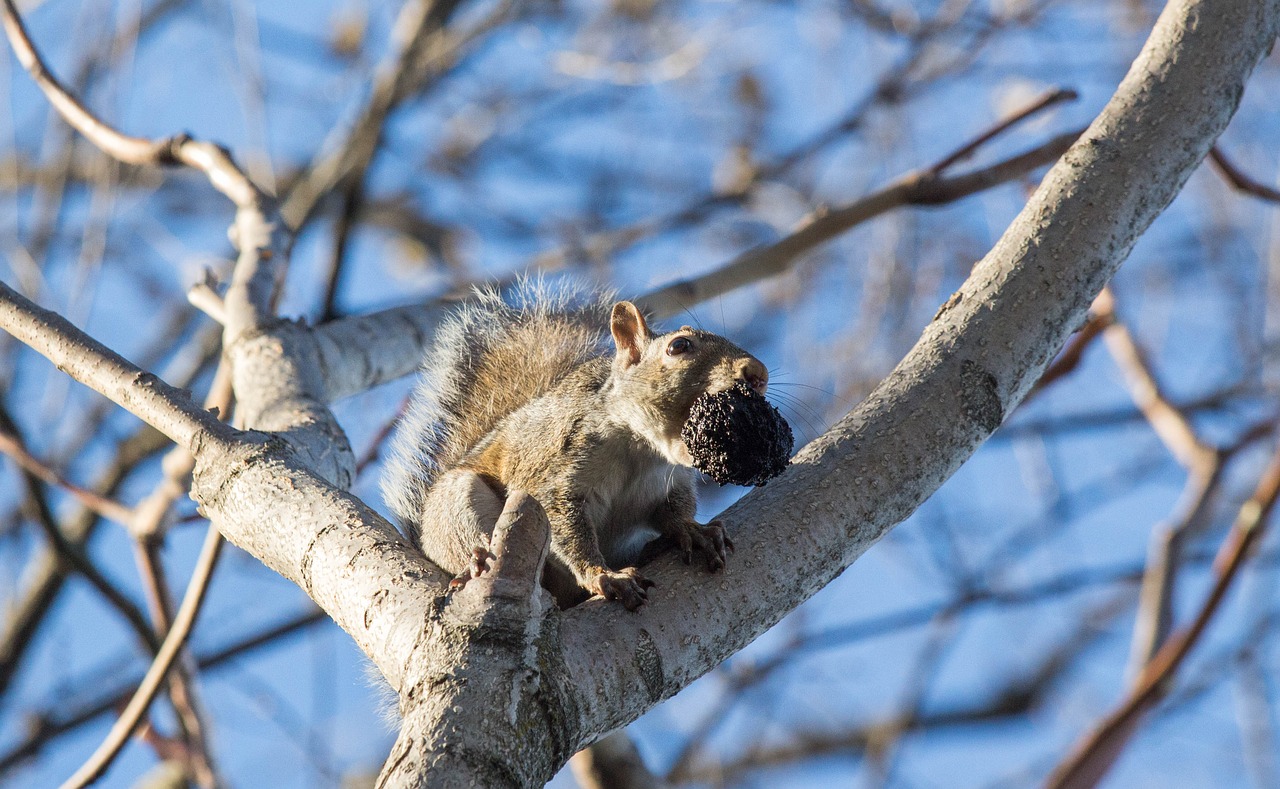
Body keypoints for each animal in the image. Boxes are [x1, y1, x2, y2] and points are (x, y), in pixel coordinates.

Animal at [373, 283, 762, 609]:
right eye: (679, 346)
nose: (757, 373)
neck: (644, 453)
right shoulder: (559, 470)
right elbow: (565, 525)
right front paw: (604, 575)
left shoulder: (671, 483)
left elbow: (674, 511)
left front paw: (694, 530)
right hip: (455, 505)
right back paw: (474, 564)